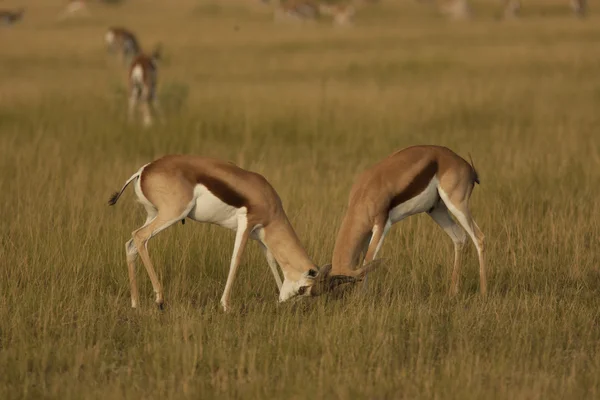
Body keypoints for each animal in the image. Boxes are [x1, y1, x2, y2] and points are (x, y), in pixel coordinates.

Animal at [109, 155, 332, 310]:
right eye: (303, 289)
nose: (284, 302)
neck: (268, 200)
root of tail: (143, 170)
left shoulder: (260, 235)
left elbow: (270, 260)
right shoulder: (246, 225)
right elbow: (236, 260)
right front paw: (225, 305)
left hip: (153, 214)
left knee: (131, 243)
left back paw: (135, 303)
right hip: (172, 214)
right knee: (139, 237)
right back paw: (160, 299)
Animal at [326, 145, 486, 296]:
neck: (365, 193)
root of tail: (465, 165)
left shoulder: (382, 225)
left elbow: (369, 259)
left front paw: (362, 295)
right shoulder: (368, 232)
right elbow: (364, 261)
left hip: (456, 205)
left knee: (479, 237)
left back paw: (483, 292)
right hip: (436, 210)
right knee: (460, 237)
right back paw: (453, 292)